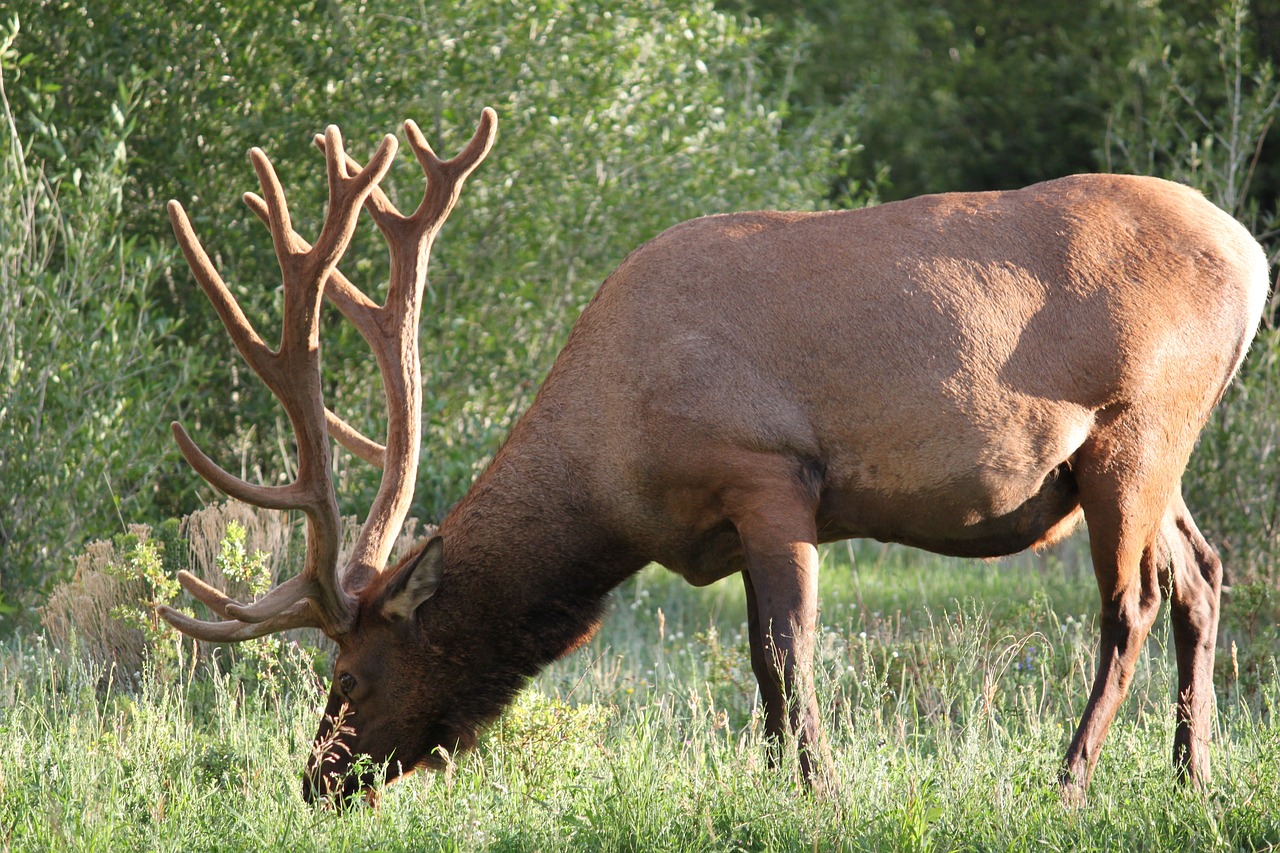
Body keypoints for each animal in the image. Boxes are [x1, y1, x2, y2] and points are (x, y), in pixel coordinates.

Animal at [160, 106, 1269, 804]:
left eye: (348, 679)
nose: (314, 783)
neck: (612, 481)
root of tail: (1253, 257)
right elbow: (759, 663)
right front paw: (782, 783)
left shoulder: (767, 471)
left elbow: (784, 653)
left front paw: (820, 793)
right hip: (1149, 456)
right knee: (1203, 573)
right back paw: (1193, 776)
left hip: (1134, 429)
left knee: (1129, 602)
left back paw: (1068, 783)